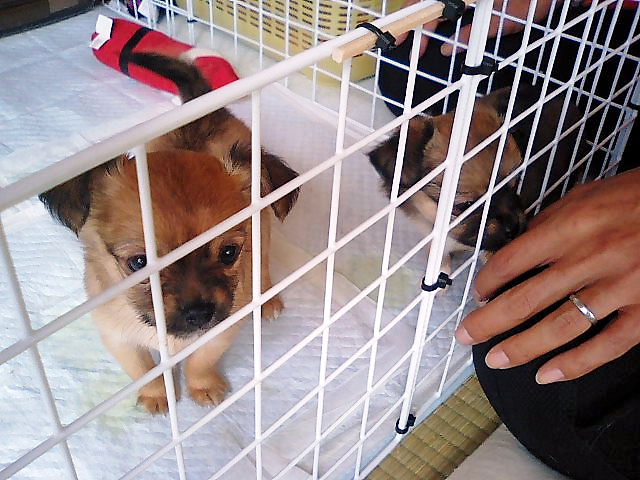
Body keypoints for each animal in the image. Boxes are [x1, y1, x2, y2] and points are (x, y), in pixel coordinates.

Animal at [40, 53, 299, 414]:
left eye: (229, 253)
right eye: (138, 262)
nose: (199, 313)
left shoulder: (221, 327)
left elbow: (201, 361)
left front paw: (203, 387)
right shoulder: (118, 336)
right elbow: (144, 369)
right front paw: (156, 396)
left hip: (263, 226)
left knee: (261, 263)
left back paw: (268, 300)